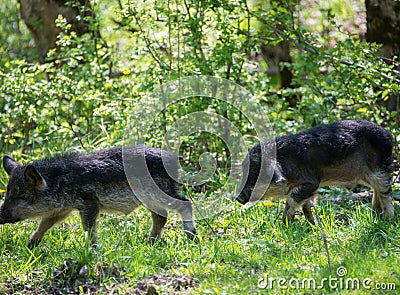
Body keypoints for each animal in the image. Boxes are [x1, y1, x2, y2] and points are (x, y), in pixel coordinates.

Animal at [0, 146, 197, 250]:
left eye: (22, 193)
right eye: (8, 191)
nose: (1, 217)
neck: (59, 184)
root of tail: (175, 159)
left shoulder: (89, 203)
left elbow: (88, 227)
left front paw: (92, 249)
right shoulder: (63, 208)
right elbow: (45, 223)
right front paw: (30, 246)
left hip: (160, 192)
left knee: (185, 204)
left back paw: (192, 238)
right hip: (150, 199)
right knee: (161, 216)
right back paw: (149, 242)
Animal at [236, 119, 396, 223]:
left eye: (257, 176)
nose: (238, 197)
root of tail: (389, 136)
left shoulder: (310, 182)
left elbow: (292, 200)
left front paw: (285, 223)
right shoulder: (310, 188)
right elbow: (307, 205)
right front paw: (311, 223)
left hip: (378, 169)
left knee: (386, 191)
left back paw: (388, 219)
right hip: (364, 175)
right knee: (376, 190)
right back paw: (375, 213)